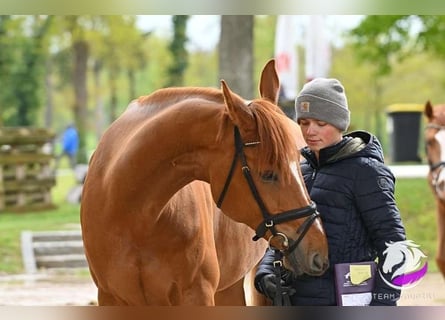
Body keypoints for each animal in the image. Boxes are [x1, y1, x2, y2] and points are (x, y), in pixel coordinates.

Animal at [80, 58, 330, 306]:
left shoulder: (197, 294)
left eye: (299, 165)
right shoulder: (110, 297)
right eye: (268, 174)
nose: (319, 249)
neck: (134, 215)